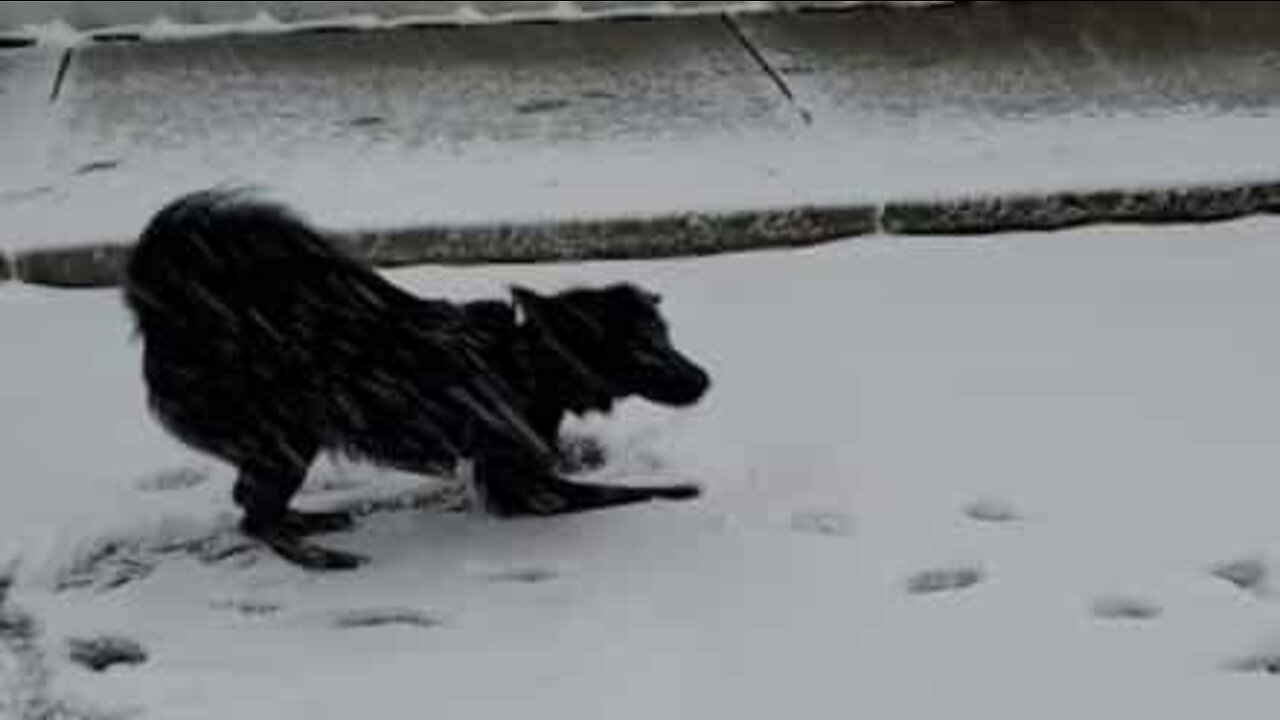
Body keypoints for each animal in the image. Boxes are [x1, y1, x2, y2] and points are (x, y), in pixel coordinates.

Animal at [122, 189, 711, 566]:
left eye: (666, 335)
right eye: (641, 347)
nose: (706, 379)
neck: (526, 365)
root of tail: (165, 311)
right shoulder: (522, 489)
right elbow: (619, 492)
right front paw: (680, 489)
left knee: (251, 504)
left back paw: (309, 522)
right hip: (287, 435)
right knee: (252, 513)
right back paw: (316, 554)